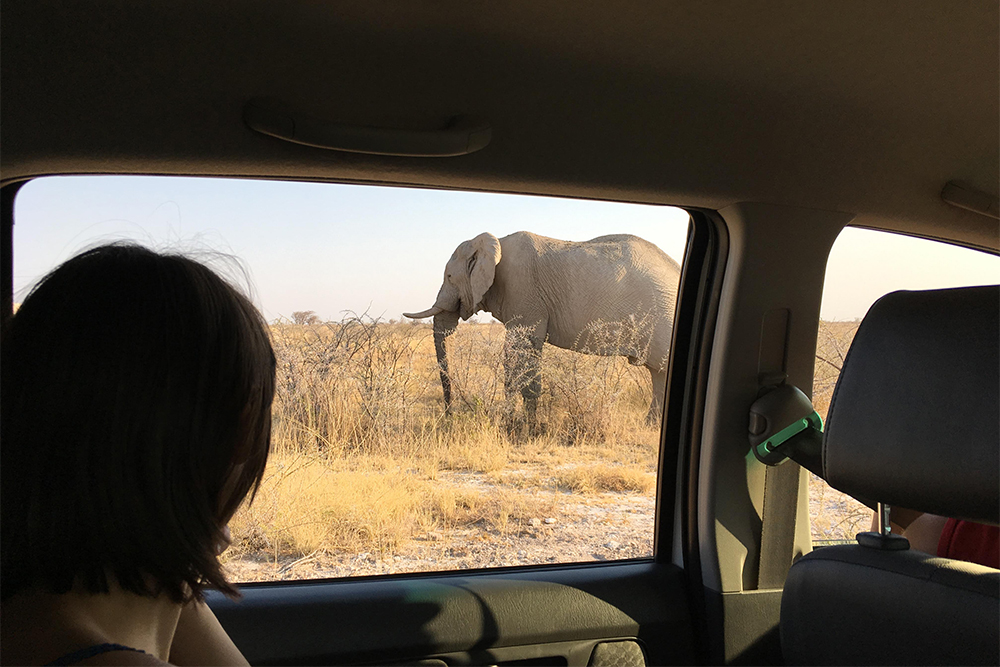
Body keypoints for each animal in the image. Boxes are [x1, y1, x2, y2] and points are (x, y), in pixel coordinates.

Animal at [404, 232, 680, 426]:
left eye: (449, 277)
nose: (448, 415)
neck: (494, 242)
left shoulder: (523, 290)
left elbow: (520, 351)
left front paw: (520, 426)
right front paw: (523, 422)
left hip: (663, 318)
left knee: (661, 371)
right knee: (659, 375)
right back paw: (650, 427)